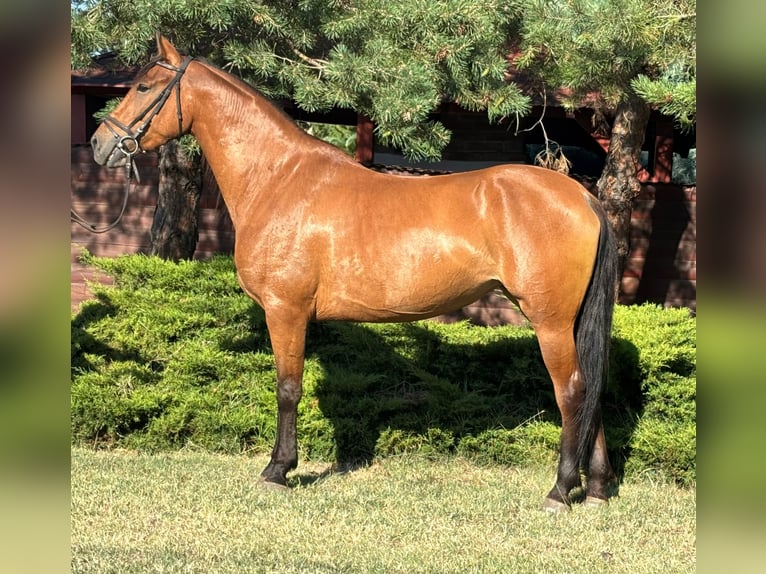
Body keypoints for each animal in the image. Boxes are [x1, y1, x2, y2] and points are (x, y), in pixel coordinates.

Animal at [91, 34, 618, 511]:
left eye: (143, 86)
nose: (100, 144)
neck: (278, 178)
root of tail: (582, 196)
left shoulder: (285, 311)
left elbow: (287, 388)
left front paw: (277, 470)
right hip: (570, 324)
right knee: (592, 388)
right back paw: (594, 490)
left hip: (550, 322)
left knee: (572, 391)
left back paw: (559, 491)